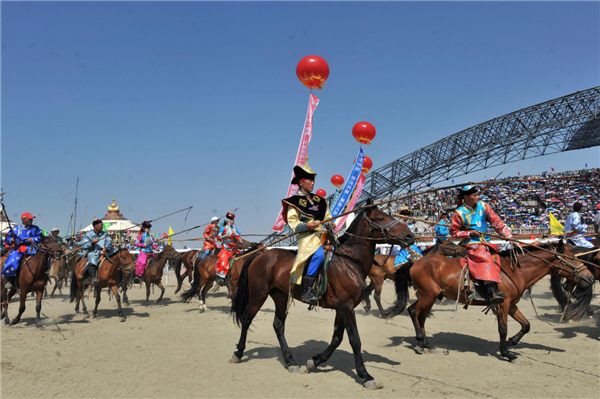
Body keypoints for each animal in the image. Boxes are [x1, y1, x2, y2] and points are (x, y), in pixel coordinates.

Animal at [229, 206, 412, 390]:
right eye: (381, 218)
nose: (410, 236)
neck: (349, 262)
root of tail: (259, 256)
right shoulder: (346, 307)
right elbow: (355, 340)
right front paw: (365, 375)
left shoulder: (342, 308)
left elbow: (337, 338)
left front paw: (315, 361)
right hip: (258, 295)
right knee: (246, 319)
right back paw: (238, 353)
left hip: (280, 297)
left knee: (278, 325)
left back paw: (291, 361)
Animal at [382, 241, 592, 366]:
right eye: (571, 258)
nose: (589, 277)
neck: (514, 271)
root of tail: (415, 263)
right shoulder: (503, 305)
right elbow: (503, 329)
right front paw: (507, 353)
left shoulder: (512, 305)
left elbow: (526, 325)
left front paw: (512, 342)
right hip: (427, 295)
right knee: (412, 311)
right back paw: (419, 341)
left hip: (431, 298)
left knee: (421, 317)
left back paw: (426, 344)